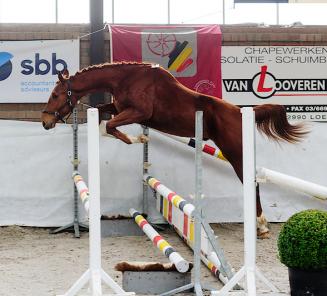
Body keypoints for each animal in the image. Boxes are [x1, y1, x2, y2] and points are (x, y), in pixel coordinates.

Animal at [41, 61, 308, 238]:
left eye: (54, 95)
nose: (45, 122)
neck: (126, 79)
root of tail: (241, 111)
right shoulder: (119, 108)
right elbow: (102, 121)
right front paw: (138, 138)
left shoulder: (138, 112)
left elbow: (109, 126)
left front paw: (138, 138)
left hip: (235, 152)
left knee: (252, 183)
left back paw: (261, 226)